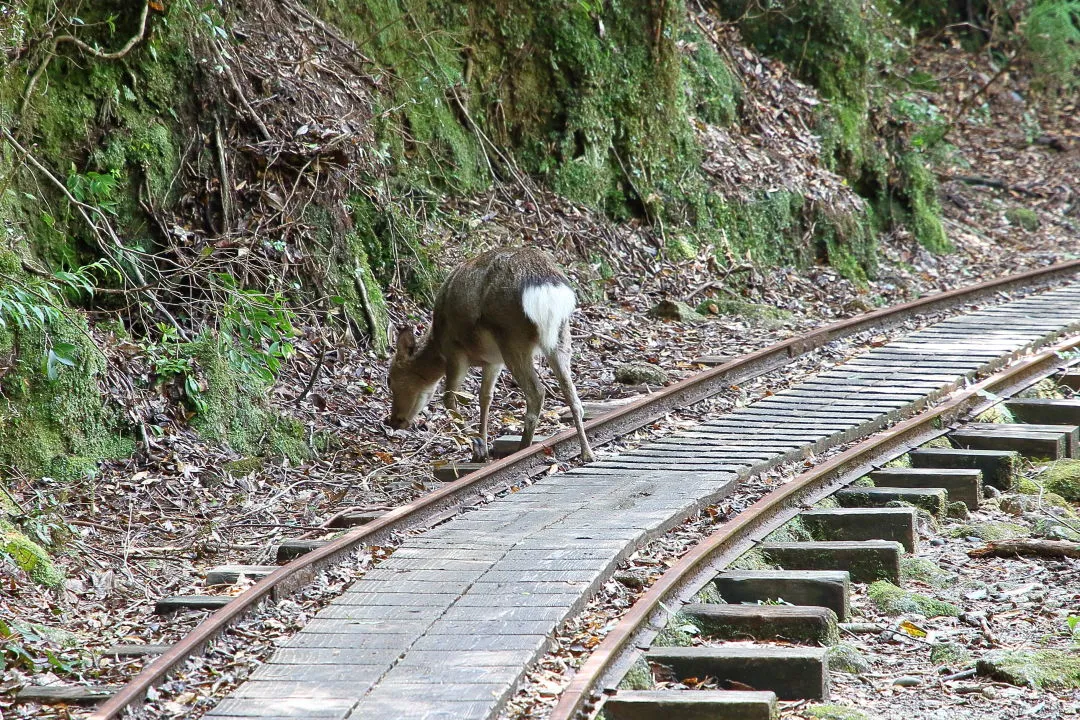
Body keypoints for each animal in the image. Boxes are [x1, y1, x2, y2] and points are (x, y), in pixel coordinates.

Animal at [386, 246, 596, 462]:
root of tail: (546, 287)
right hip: (560, 337)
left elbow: (449, 399)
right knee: (573, 397)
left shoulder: (455, 351)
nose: (393, 421)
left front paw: (477, 446)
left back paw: (523, 450)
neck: (437, 343)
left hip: (512, 337)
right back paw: (587, 452)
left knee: (536, 392)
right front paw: (482, 447)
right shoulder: (493, 361)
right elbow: (485, 397)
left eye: (390, 379)